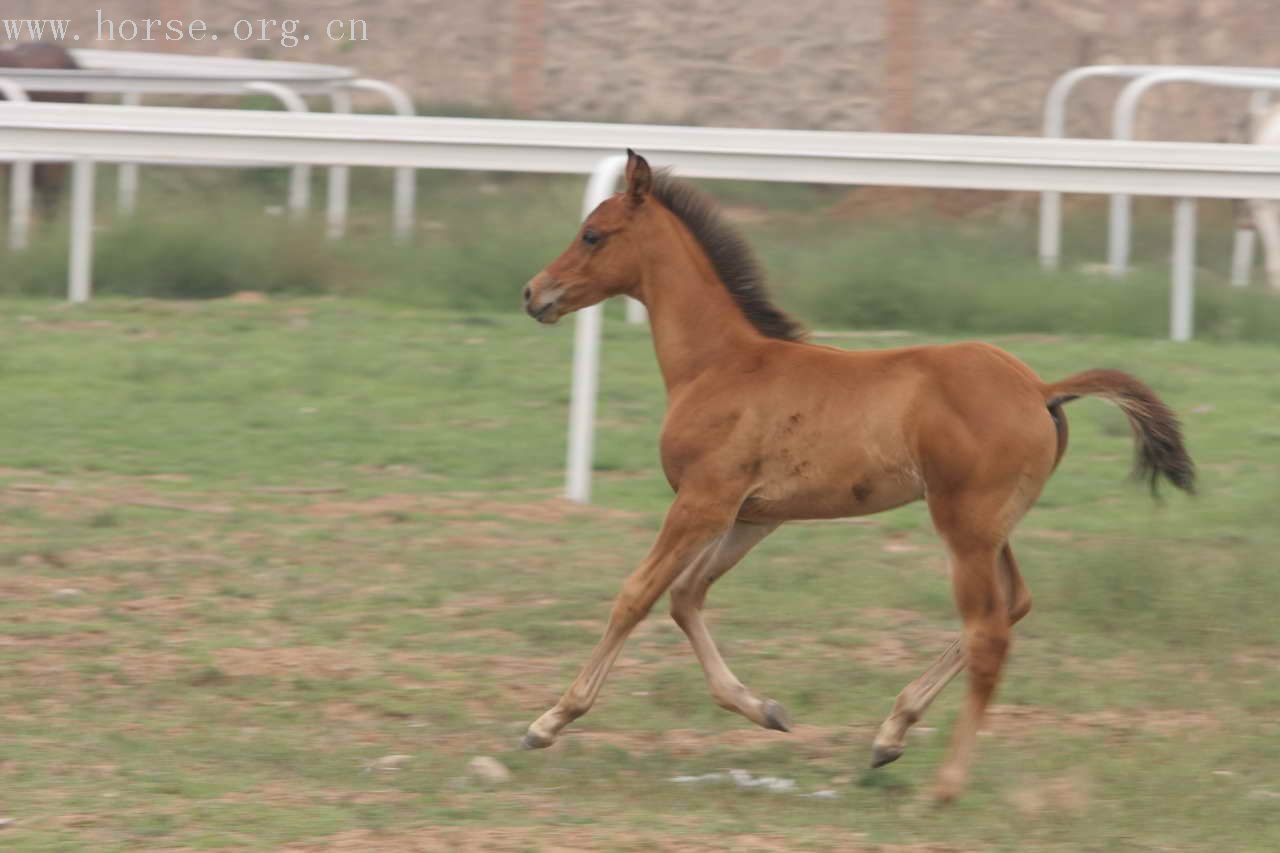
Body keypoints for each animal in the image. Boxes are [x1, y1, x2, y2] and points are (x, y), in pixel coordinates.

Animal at [514, 151, 1192, 799]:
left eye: (593, 234)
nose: (532, 293)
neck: (721, 365)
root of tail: (1040, 388)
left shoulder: (701, 503)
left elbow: (636, 594)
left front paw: (549, 721)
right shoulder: (753, 517)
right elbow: (686, 597)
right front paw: (765, 709)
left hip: (964, 525)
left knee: (989, 633)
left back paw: (944, 784)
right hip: (990, 526)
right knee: (1012, 605)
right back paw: (890, 733)